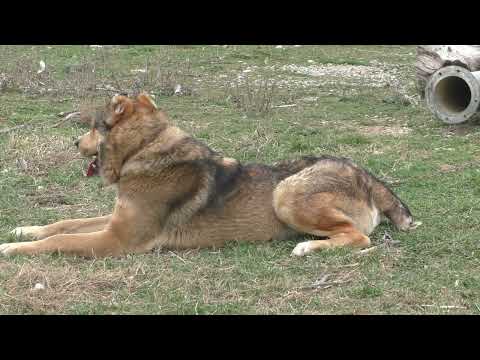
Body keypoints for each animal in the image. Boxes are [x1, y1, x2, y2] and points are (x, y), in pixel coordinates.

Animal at [1, 93, 418, 256]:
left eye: (92, 127)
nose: (74, 143)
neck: (146, 148)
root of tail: (368, 177)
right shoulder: (115, 221)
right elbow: (64, 223)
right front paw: (24, 230)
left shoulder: (117, 239)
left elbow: (61, 240)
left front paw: (13, 250)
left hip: (285, 193)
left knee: (359, 237)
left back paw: (309, 248)